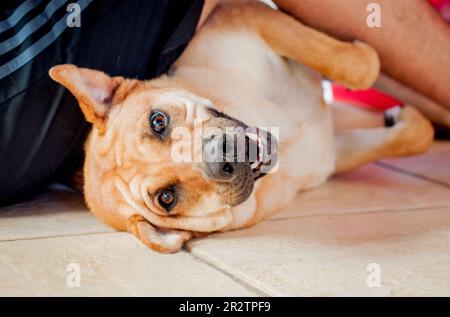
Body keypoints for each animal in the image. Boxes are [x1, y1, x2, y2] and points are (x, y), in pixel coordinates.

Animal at [48, 0, 432, 252]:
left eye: (158, 121)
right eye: (167, 198)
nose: (224, 156)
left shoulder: (247, 15)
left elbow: (366, 77)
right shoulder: (331, 153)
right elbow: (369, 70)